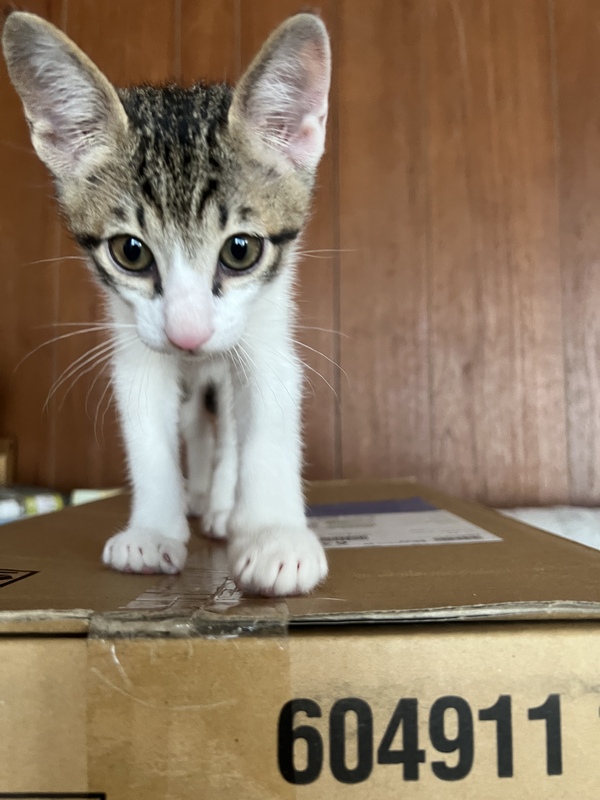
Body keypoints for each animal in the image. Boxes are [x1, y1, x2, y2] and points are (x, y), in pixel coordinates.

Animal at [2, 10, 330, 596]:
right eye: (130, 252)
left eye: (240, 250)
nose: (188, 336)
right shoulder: (135, 342)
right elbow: (149, 427)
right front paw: (153, 531)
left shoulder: (266, 328)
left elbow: (265, 418)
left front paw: (275, 538)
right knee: (196, 421)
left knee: (224, 423)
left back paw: (222, 506)